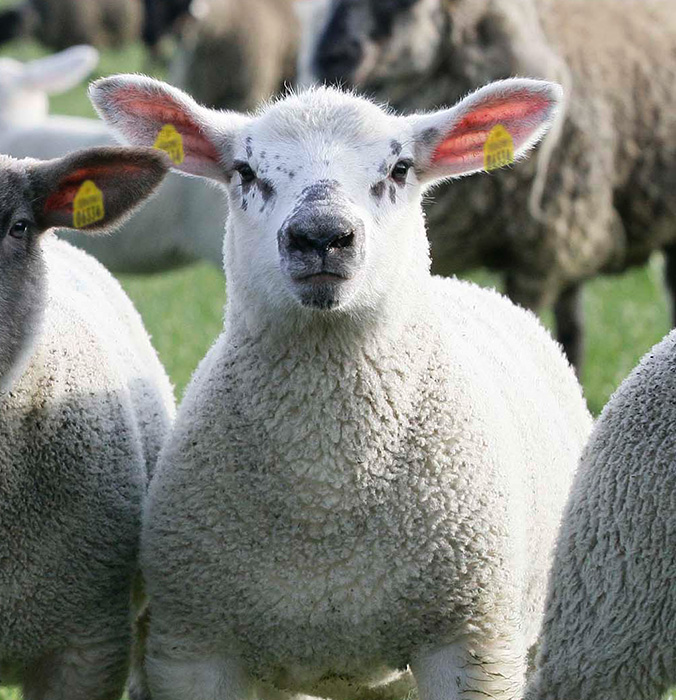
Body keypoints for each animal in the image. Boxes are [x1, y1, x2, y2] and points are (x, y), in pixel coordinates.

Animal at [91, 73, 593, 700]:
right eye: (245, 172)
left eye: (400, 168)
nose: (322, 235)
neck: (325, 487)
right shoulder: (195, 647)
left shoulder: (473, 642)